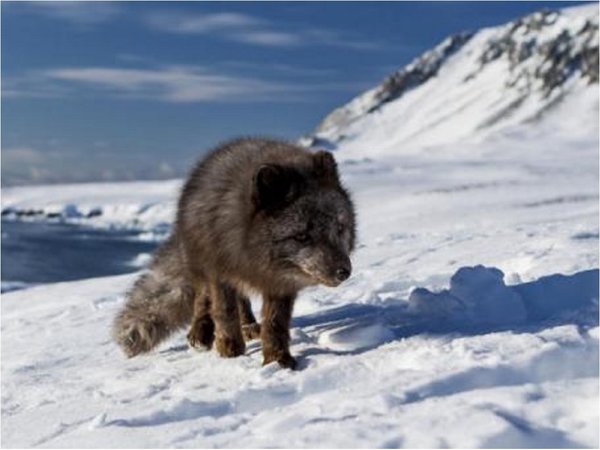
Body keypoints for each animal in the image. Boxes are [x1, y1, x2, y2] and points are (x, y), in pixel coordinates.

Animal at [112, 138, 354, 370]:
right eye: (302, 236)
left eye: (339, 228)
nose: (344, 272)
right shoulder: (219, 269)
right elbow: (224, 312)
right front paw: (230, 351)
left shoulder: (280, 283)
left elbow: (275, 323)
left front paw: (277, 360)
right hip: (200, 263)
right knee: (203, 299)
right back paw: (201, 333)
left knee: (242, 302)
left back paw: (249, 327)